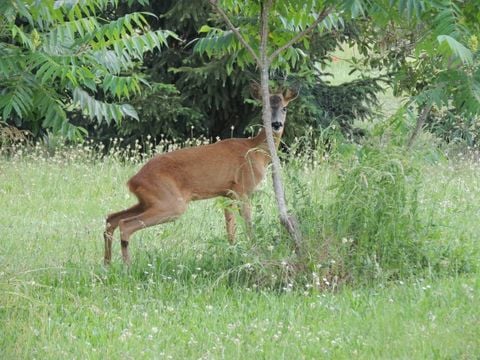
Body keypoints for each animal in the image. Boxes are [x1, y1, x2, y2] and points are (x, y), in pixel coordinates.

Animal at [104, 88, 296, 264]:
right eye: (265, 108)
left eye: (285, 108)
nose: (276, 124)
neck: (256, 151)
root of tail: (133, 180)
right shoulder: (243, 189)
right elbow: (248, 223)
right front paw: (254, 251)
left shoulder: (227, 194)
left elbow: (230, 228)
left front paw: (233, 253)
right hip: (170, 202)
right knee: (125, 224)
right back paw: (127, 268)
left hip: (149, 200)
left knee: (112, 218)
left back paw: (107, 265)